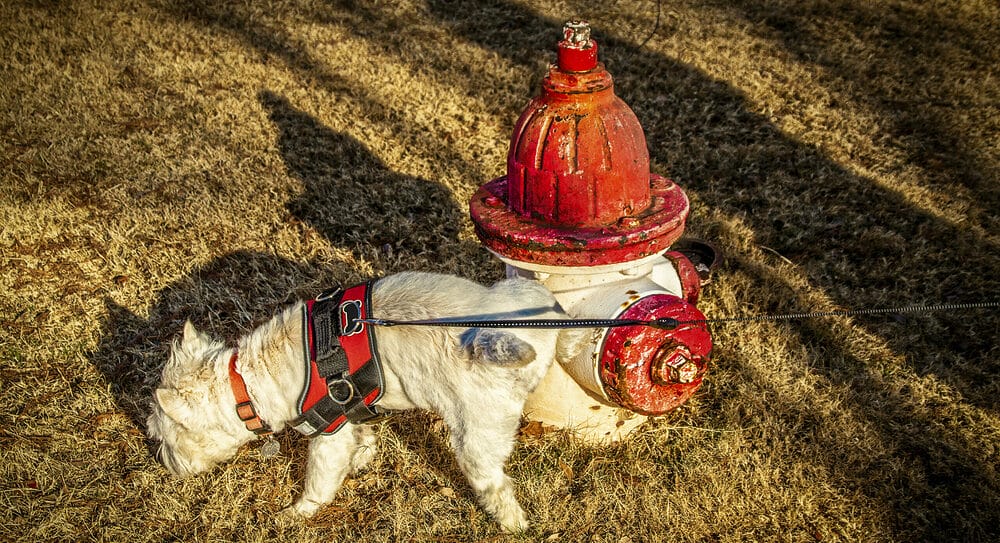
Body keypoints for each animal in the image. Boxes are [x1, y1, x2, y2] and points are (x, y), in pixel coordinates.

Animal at [148, 272, 584, 532]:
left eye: (162, 438)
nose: (164, 465)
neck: (248, 379)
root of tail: (500, 336)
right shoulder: (350, 415)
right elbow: (362, 439)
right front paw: (363, 456)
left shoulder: (326, 432)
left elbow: (319, 481)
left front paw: (295, 514)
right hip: (532, 297)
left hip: (477, 435)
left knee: (495, 484)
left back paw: (513, 524)